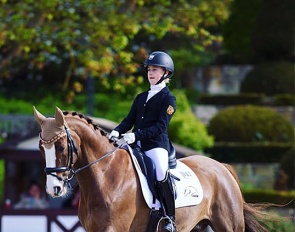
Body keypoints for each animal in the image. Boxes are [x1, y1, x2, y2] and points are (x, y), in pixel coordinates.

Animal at [33, 107, 270, 232]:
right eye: (41, 148)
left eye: (61, 146)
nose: (54, 189)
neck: (106, 176)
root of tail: (221, 167)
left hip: (228, 225)